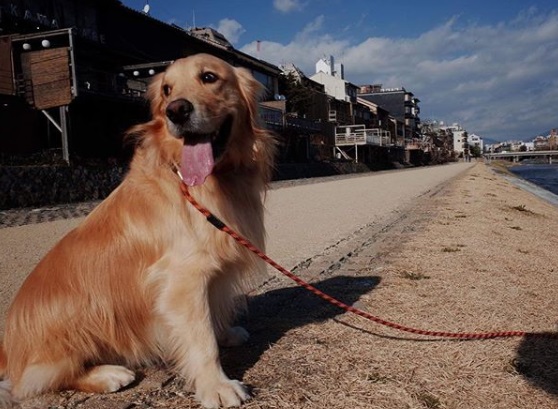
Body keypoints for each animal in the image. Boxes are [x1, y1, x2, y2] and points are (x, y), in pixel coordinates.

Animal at [0, 52, 278, 406]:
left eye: (209, 77)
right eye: (167, 90)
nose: (176, 110)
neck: (210, 181)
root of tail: (7, 349)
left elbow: (213, 312)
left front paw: (226, 333)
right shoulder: (182, 276)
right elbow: (201, 337)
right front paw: (216, 385)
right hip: (78, 312)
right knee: (37, 379)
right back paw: (108, 374)